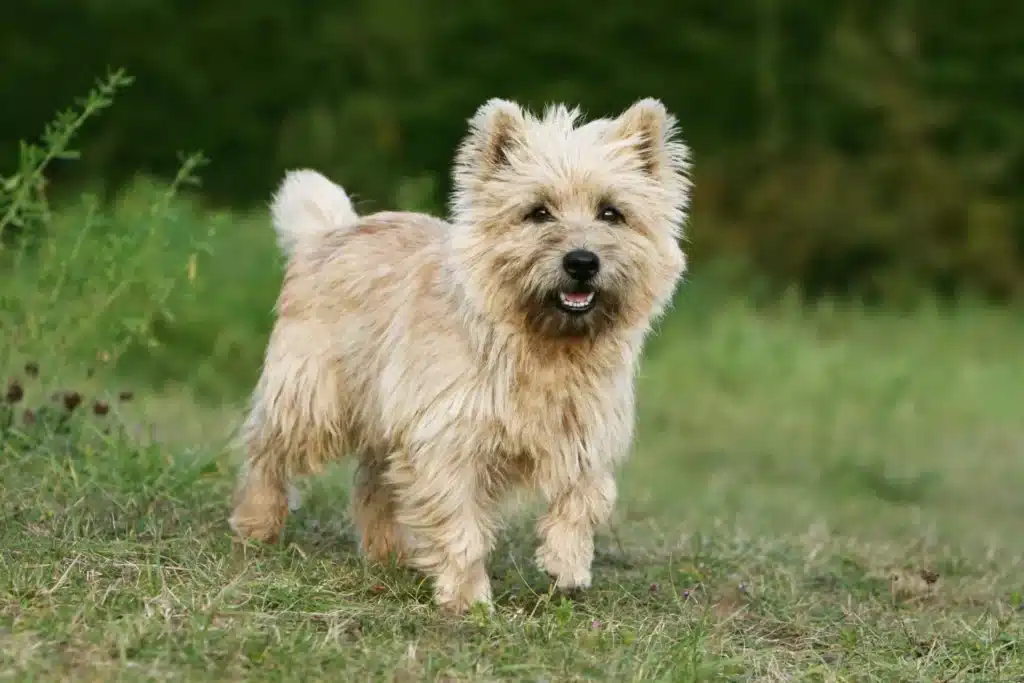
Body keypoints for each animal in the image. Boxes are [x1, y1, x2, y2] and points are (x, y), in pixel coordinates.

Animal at [229, 98, 692, 618]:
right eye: (538, 212)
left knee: (373, 482)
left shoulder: (585, 431)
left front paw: (567, 563)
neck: (544, 346)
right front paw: (468, 597)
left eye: (612, 212)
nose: (581, 261)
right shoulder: (448, 439)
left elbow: (587, 496)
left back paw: (389, 552)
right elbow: (461, 525)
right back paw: (256, 523)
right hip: (311, 398)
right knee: (267, 451)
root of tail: (329, 232)